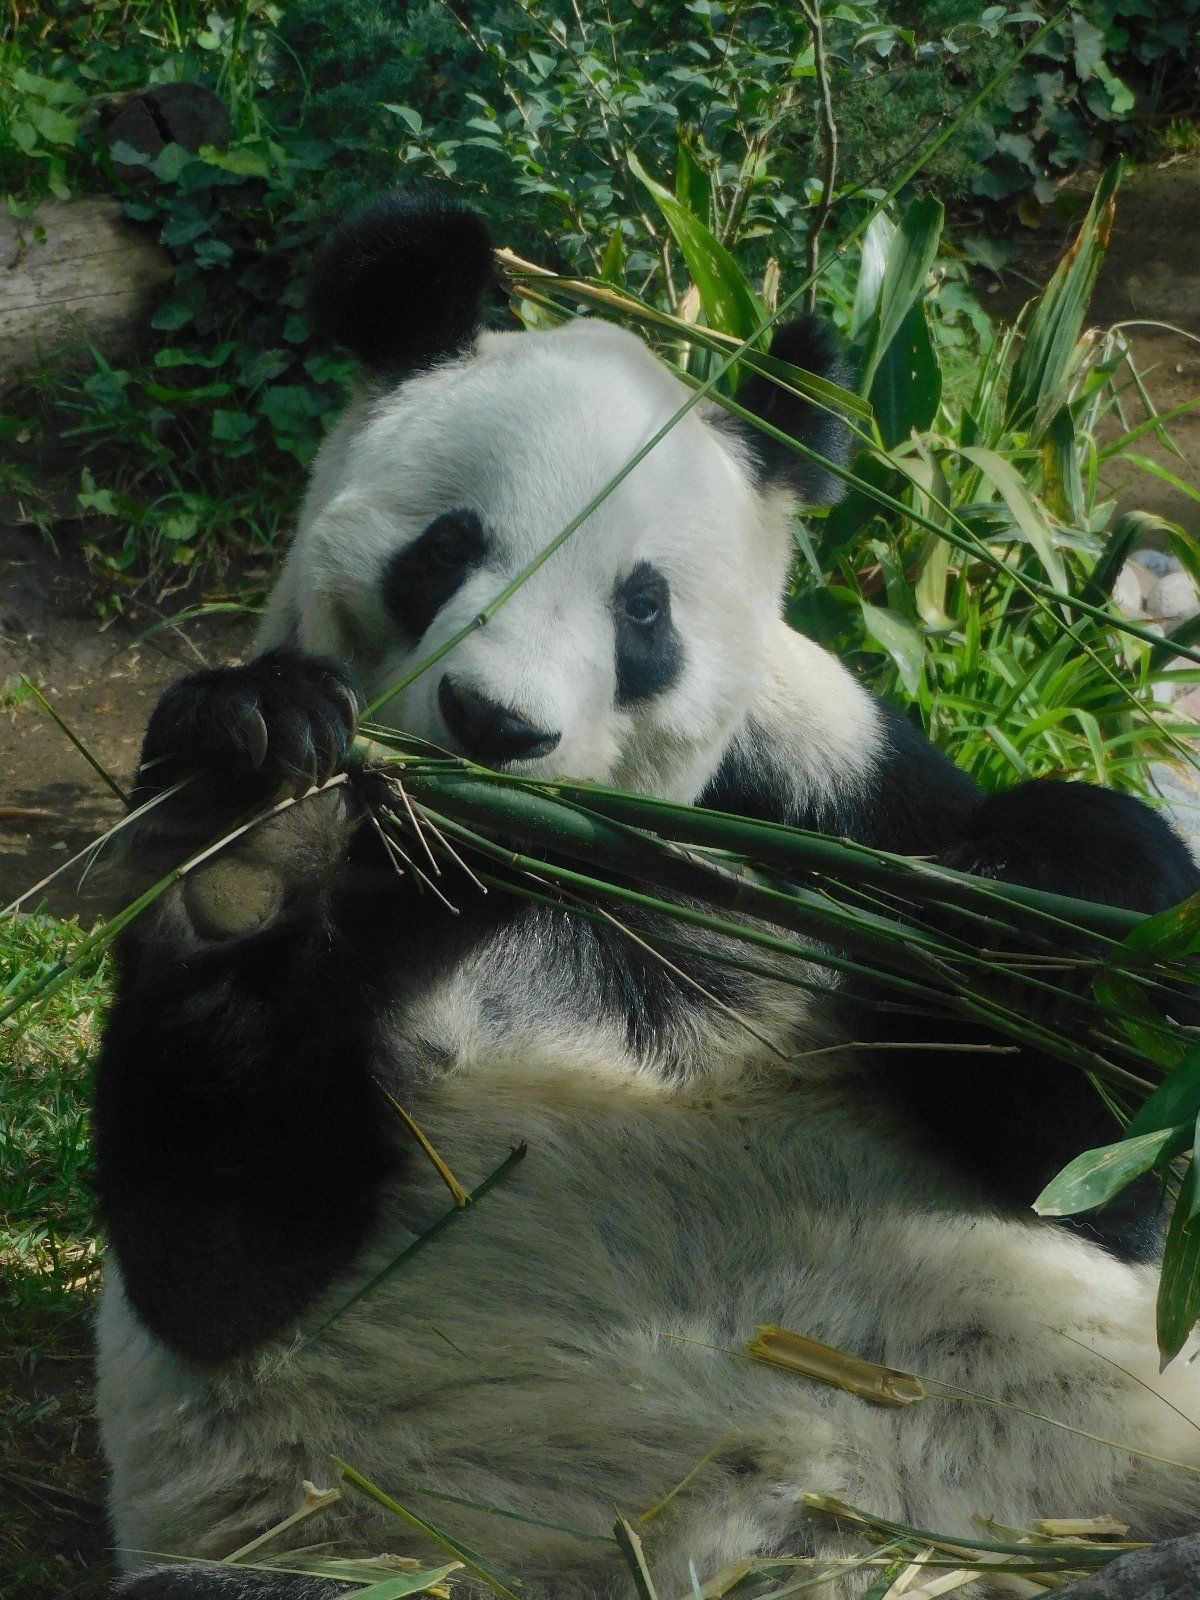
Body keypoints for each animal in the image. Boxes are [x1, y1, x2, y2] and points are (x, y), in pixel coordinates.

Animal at [94, 193, 1200, 1600]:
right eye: (445, 546)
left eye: (643, 608)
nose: (496, 725)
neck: (519, 866)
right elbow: (218, 1263)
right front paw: (258, 824)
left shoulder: (814, 794)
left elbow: (1090, 1170)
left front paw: (1034, 920)